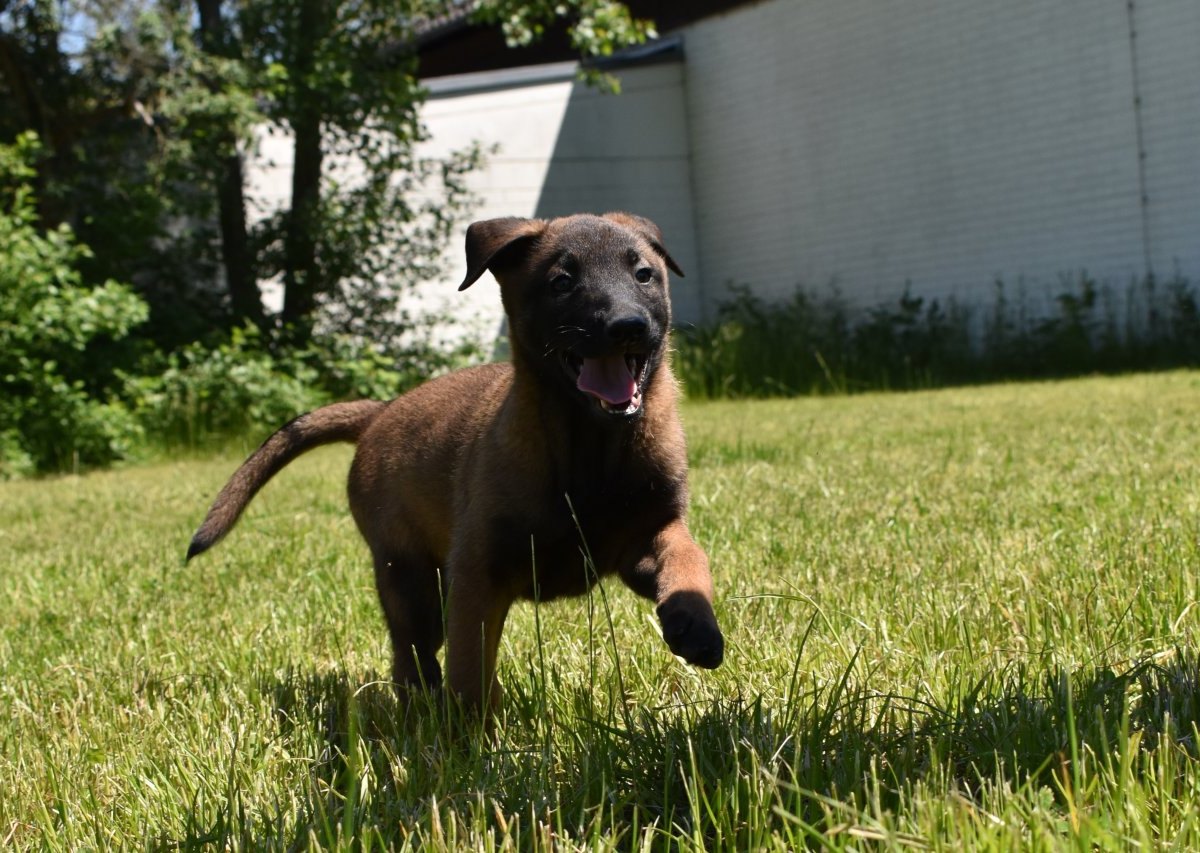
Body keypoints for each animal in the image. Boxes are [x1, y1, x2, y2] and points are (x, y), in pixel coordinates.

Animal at [189, 213, 720, 715]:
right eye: (562, 281)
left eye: (644, 274)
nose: (628, 325)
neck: (592, 449)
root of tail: (379, 412)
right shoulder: (478, 574)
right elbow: (469, 669)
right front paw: (471, 738)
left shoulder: (647, 534)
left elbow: (689, 556)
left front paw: (695, 623)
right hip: (409, 579)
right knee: (412, 657)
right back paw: (421, 714)